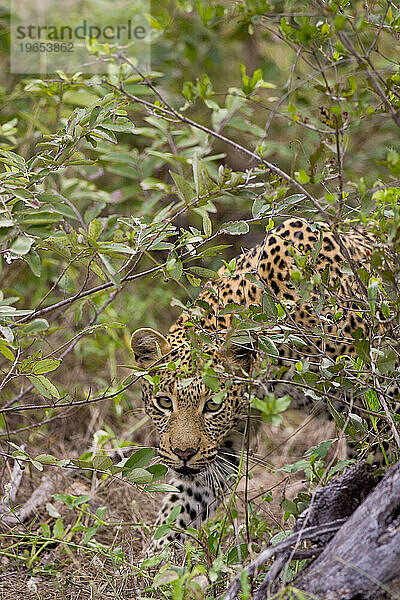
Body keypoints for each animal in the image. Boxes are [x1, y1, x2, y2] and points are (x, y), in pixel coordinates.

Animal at [131, 216, 388, 552]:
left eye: (212, 406)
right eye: (164, 402)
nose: (183, 454)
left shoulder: (375, 400)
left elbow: (376, 461)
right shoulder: (227, 437)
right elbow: (184, 501)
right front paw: (155, 560)